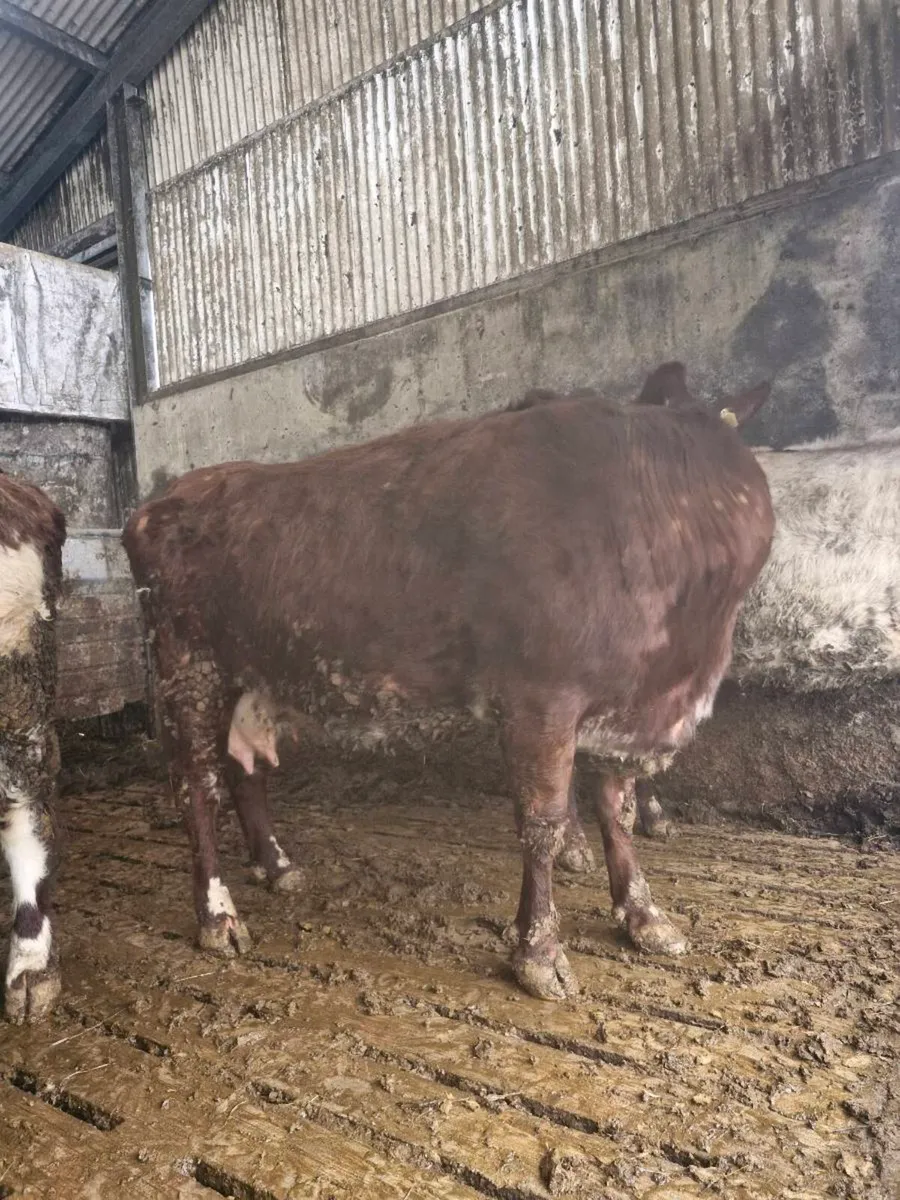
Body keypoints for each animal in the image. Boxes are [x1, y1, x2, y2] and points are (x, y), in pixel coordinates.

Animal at [123, 362, 773, 1001]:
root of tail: (164, 499)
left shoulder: (631, 707)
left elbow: (619, 811)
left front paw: (642, 914)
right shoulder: (541, 701)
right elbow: (542, 824)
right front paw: (539, 951)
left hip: (251, 676)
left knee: (246, 772)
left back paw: (278, 867)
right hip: (188, 667)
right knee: (197, 786)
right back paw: (217, 915)